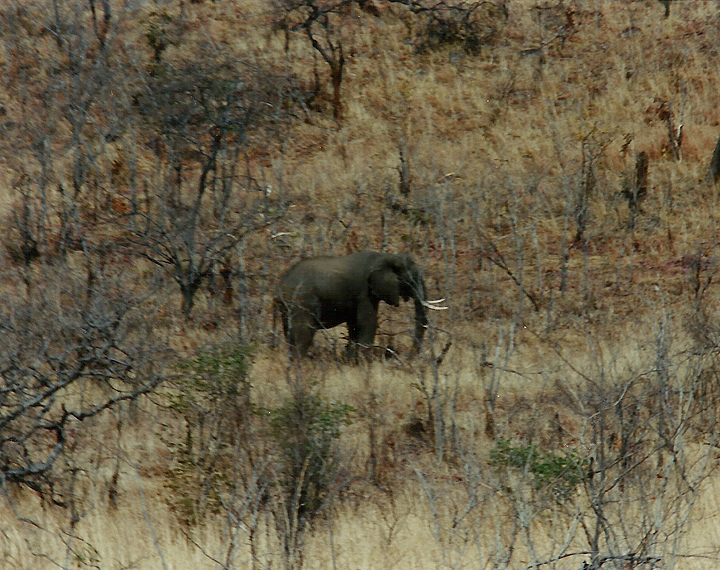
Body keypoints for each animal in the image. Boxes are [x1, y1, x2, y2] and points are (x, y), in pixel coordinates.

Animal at [274, 248, 444, 356]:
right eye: (412, 279)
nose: (408, 358)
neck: (385, 256)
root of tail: (280, 285)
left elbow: (355, 324)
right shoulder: (364, 291)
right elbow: (367, 322)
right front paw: (364, 365)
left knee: (289, 331)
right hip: (302, 301)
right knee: (304, 330)